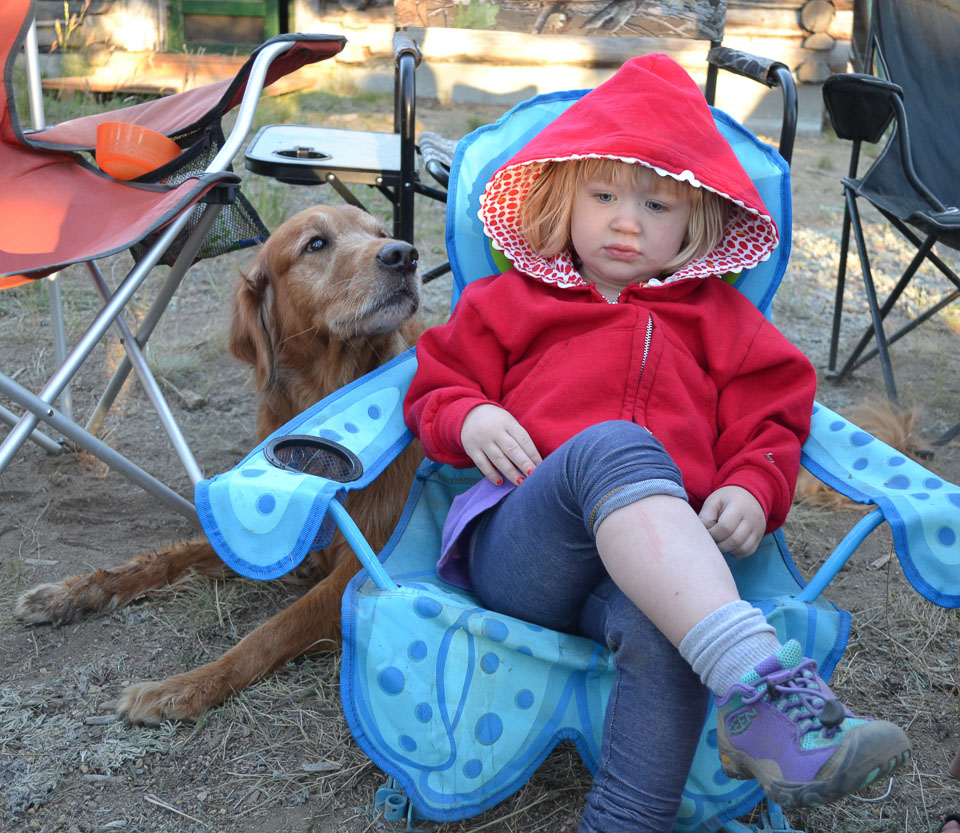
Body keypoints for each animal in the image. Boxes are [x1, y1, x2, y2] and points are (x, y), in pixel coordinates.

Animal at [13, 205, 426, 724]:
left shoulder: (363, 573)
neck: (326, 400)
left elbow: (269, 632)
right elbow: (165, 557)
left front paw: (182, 687)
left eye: (381, 232)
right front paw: (70, 594)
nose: (404, 255)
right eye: (316, 244)